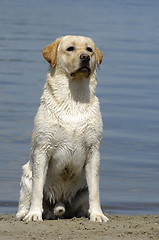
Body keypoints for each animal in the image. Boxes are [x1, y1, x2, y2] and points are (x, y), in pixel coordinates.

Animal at [16, 34, 108, 222]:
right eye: (70, 48)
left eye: (89, 50)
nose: (85, 57)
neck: (74, 100)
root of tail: (59, 202)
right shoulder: (42, 149)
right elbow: (38, 189)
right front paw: (34, 214)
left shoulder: (93, 150)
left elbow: (95, 190)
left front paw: (97, 214)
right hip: (27, 176)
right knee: (27, 197)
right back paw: (25, 213)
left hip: (82, 191)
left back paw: (86, 212)